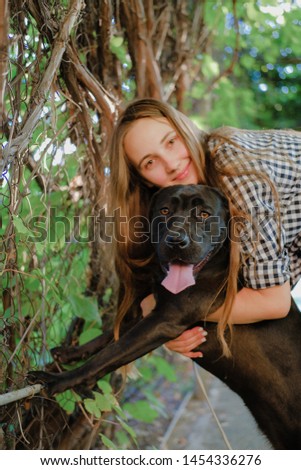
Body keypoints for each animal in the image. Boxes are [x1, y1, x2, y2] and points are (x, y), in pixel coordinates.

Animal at [28, 185, 301, 450]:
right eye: (165, 211)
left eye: (204, 214)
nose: (176, 240)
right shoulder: (149, 311)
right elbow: (107, 338)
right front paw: (70, 353)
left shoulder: (164, 319)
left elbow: (109, 354)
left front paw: (59, 380)